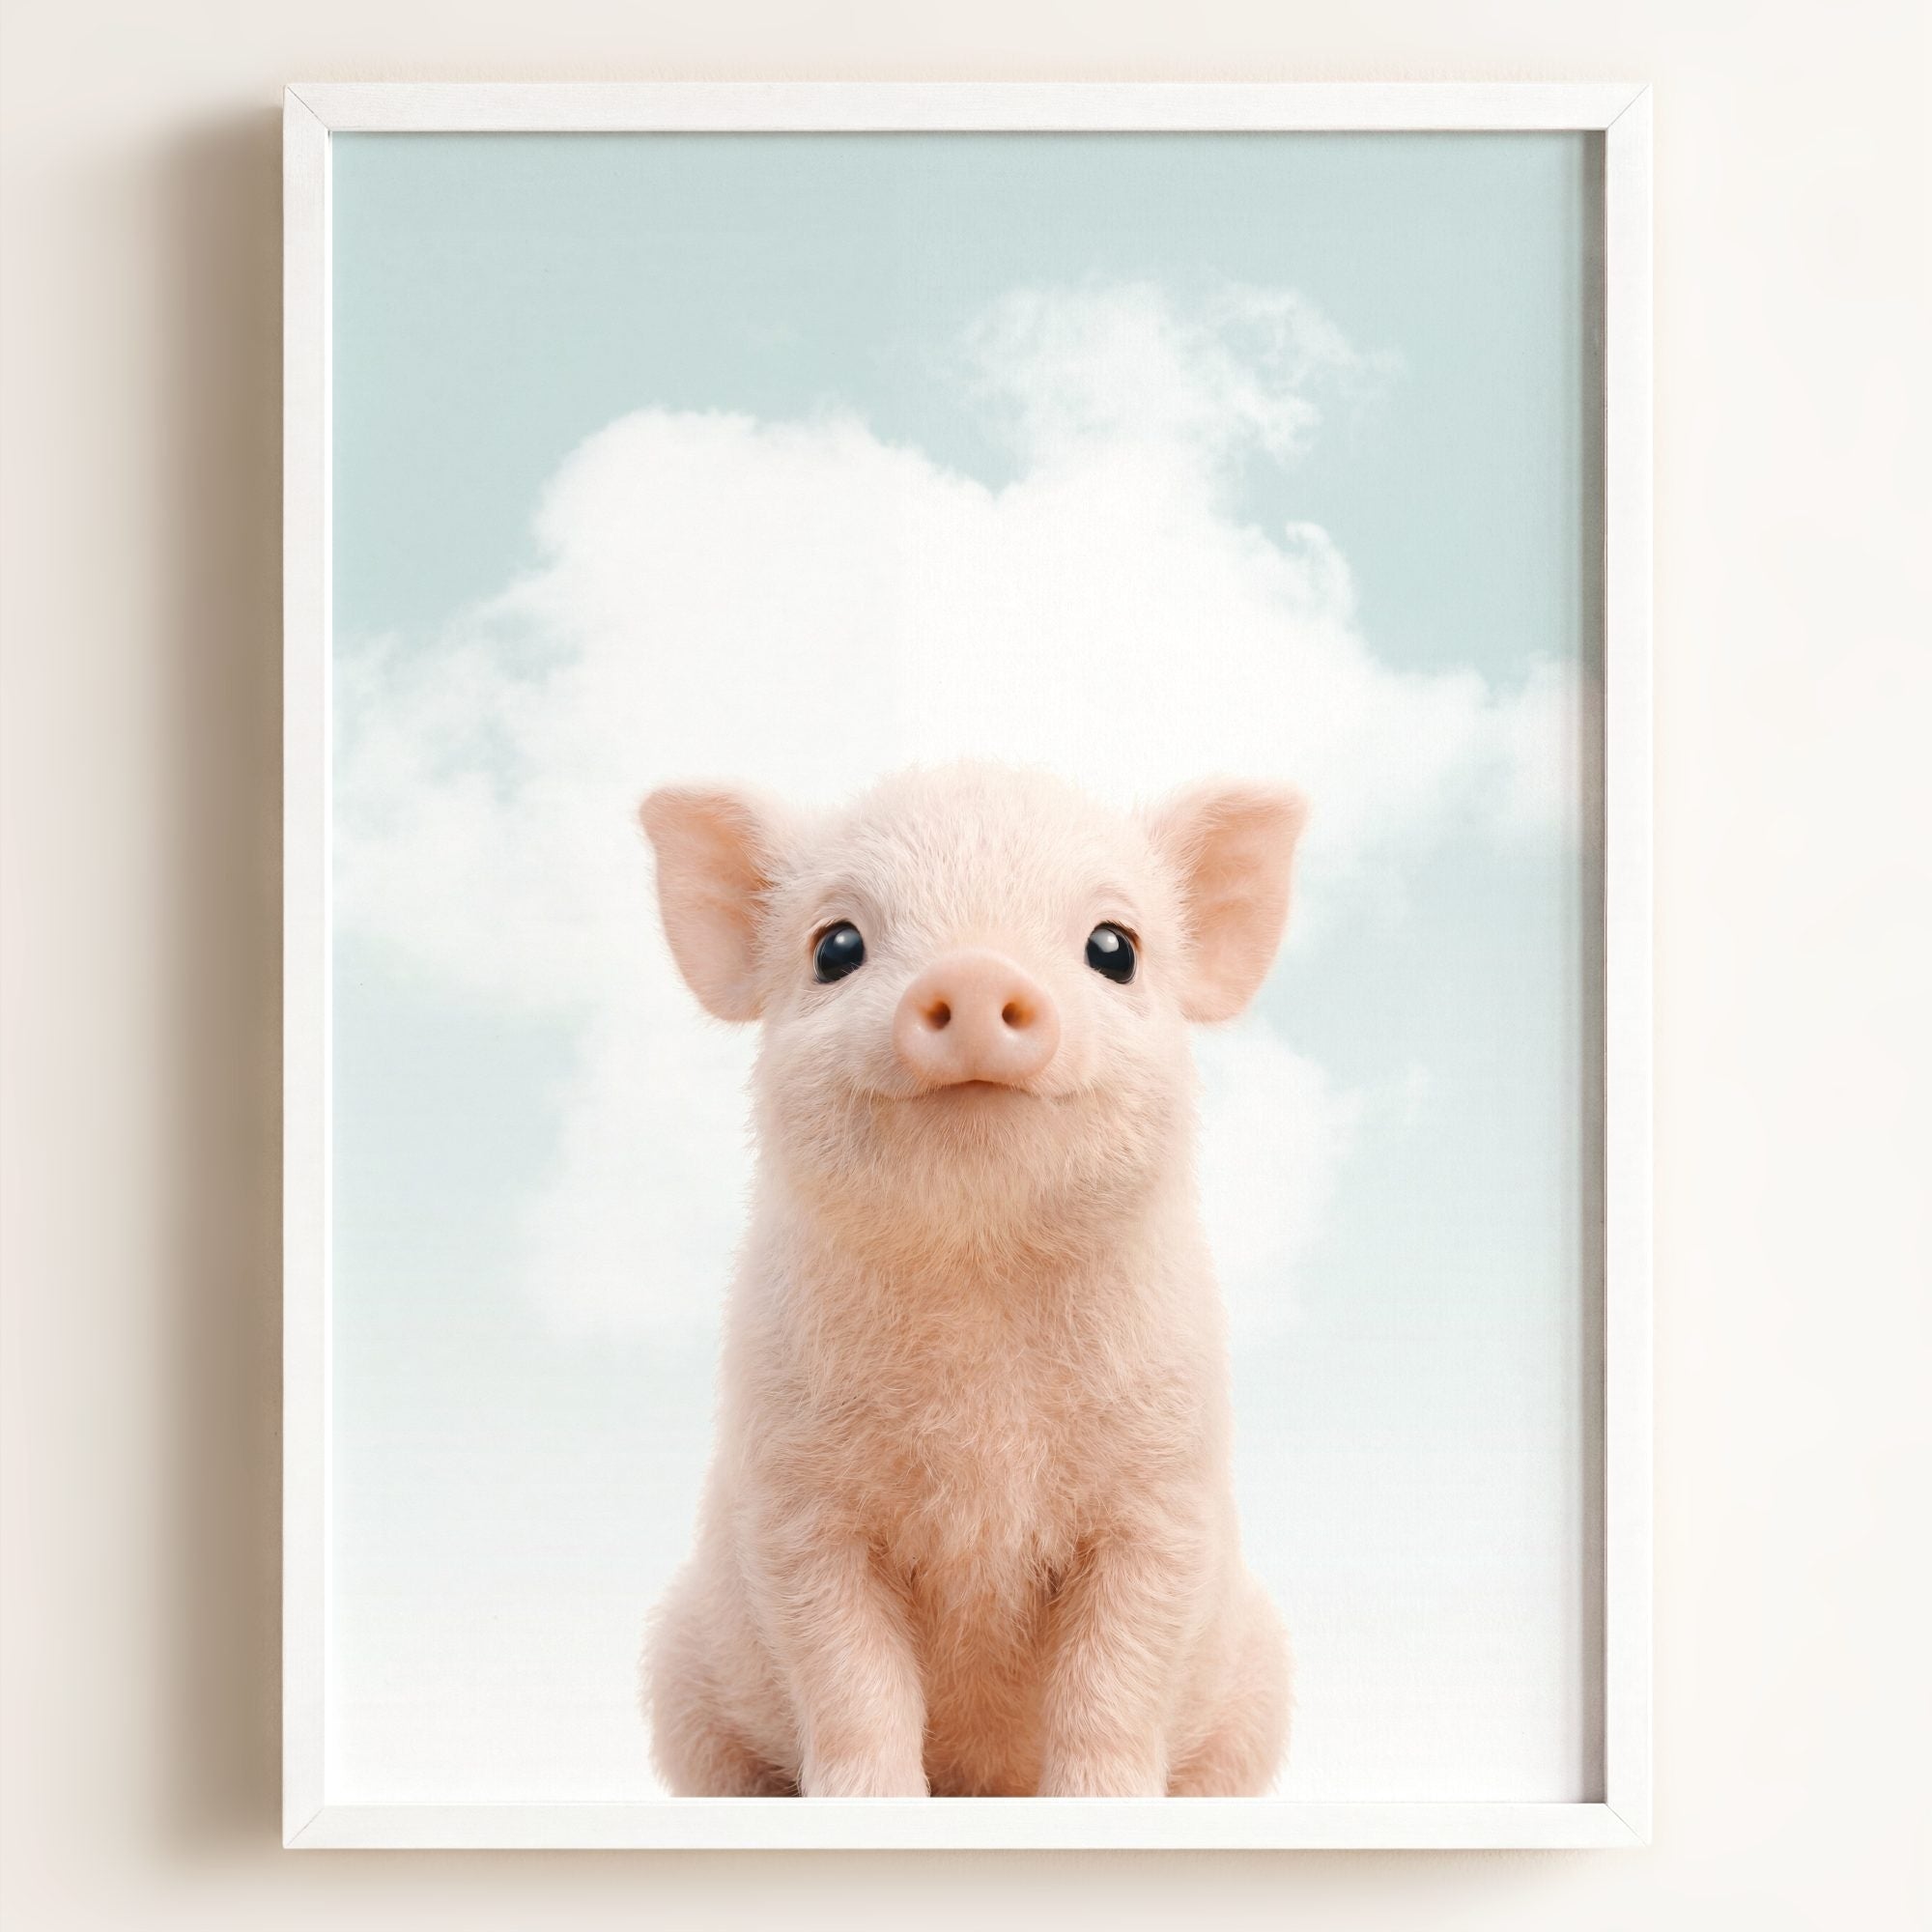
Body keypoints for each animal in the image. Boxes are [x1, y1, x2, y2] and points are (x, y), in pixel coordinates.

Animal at [638, 761, 1305, 1797]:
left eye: (1114, 948)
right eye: (836, 947)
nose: (977, 970)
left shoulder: (1164, 1499)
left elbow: (1116, 1680)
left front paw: (1105, 1802)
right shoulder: (795, 1507)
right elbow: (850, 1679)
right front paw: (866, 1802)